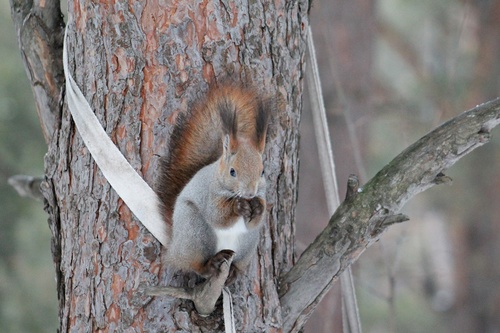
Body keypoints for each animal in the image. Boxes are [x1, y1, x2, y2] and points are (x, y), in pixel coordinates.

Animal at [159, 84, 272, 282]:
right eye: (232, 171)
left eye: (262, 171)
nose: (250, 193)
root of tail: (175, 249)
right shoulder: (209, 193)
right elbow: (217, 215)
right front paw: (238, 206)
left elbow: (255, 220)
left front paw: (258, 207)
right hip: (195, 233)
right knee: (195, 265)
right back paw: (211, 264)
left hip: (247, 244)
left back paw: (233, 271)